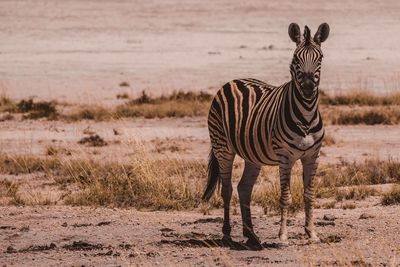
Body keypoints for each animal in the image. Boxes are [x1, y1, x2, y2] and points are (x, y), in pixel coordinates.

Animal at [202, 22, 330, 249]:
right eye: (296, 59)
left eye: (320, 58)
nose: (307, 89)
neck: (306, 115)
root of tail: (232, 81)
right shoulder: (285, 157)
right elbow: (285, 197)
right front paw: (283, 237)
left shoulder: (313, 156)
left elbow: (309, 195)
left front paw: (312, 233)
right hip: (222, 146)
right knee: (227, 190)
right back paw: (227, 235)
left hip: (252, 156)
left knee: (244, 188)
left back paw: (251, 235)